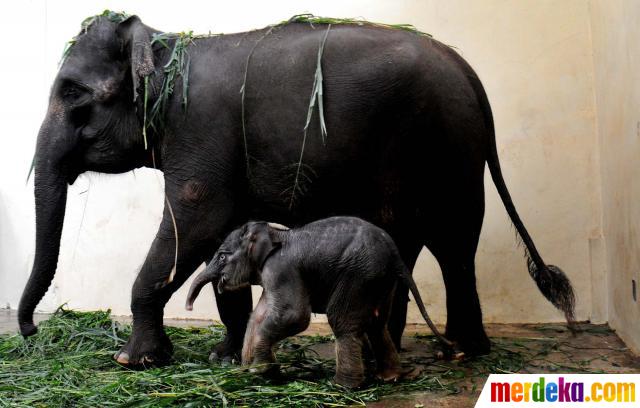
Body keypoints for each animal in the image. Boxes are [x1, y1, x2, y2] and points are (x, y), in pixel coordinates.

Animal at [17, 12, 576, 364]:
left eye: (72, 93)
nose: (30, 331)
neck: (165, 43)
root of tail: (469, 72)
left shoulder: (202, 133)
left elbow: (194, 224)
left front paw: (134, 361)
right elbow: (221, 236)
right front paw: (224, 357)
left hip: (431, 145)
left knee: (428, 235)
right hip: (455, 153)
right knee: (454, 243)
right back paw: (461, 349)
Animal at [188, 215, 452, 388]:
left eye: (222, 256)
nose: (189, 306)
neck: (274, 232)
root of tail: (395, 255)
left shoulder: (281, 269)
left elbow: (295, 316)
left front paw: (262, 370)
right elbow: (260, 315)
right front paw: (250, 371)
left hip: (359, 275)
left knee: (343, 322)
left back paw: (342, 386)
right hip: (381, 281)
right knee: (377, 325)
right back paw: (388, 377)